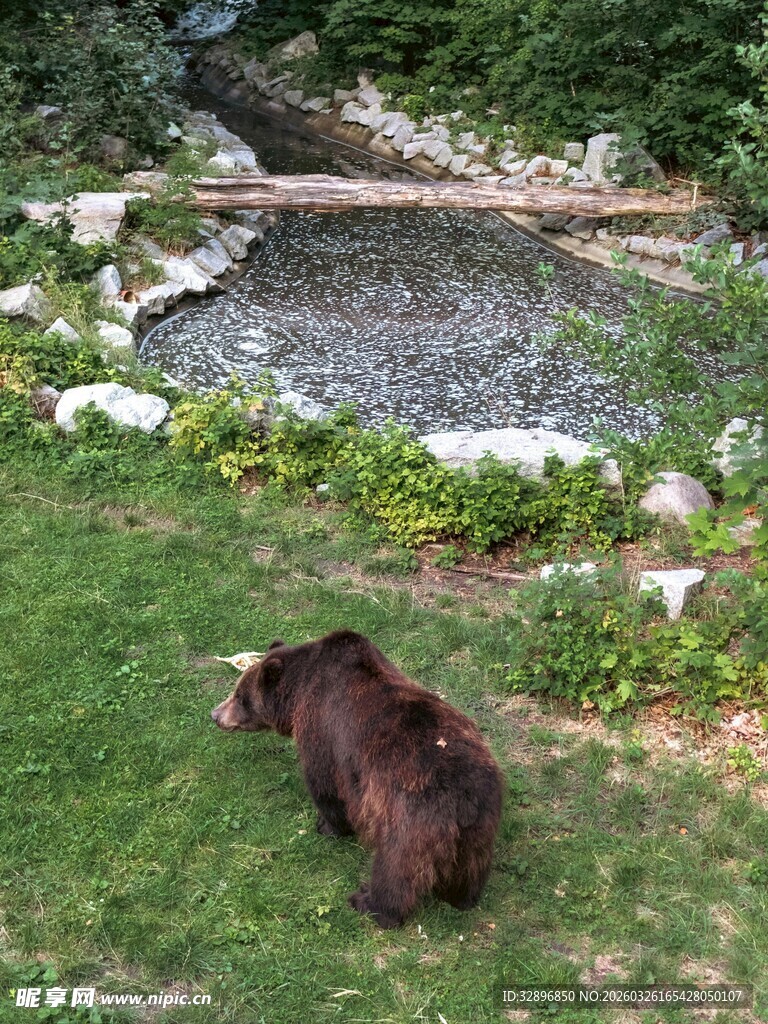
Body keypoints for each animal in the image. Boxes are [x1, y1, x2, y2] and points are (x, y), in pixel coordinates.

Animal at [211, 629, 503, 928]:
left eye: (240, 696)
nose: (215, 715)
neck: (300, 693)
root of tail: (463, 797)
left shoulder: (323, 733)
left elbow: (325, 785)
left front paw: (326, 825)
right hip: (480, 823)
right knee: (471, 865)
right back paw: (462, 897)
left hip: (409, 817)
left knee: (396, 867)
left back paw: (370, 903)